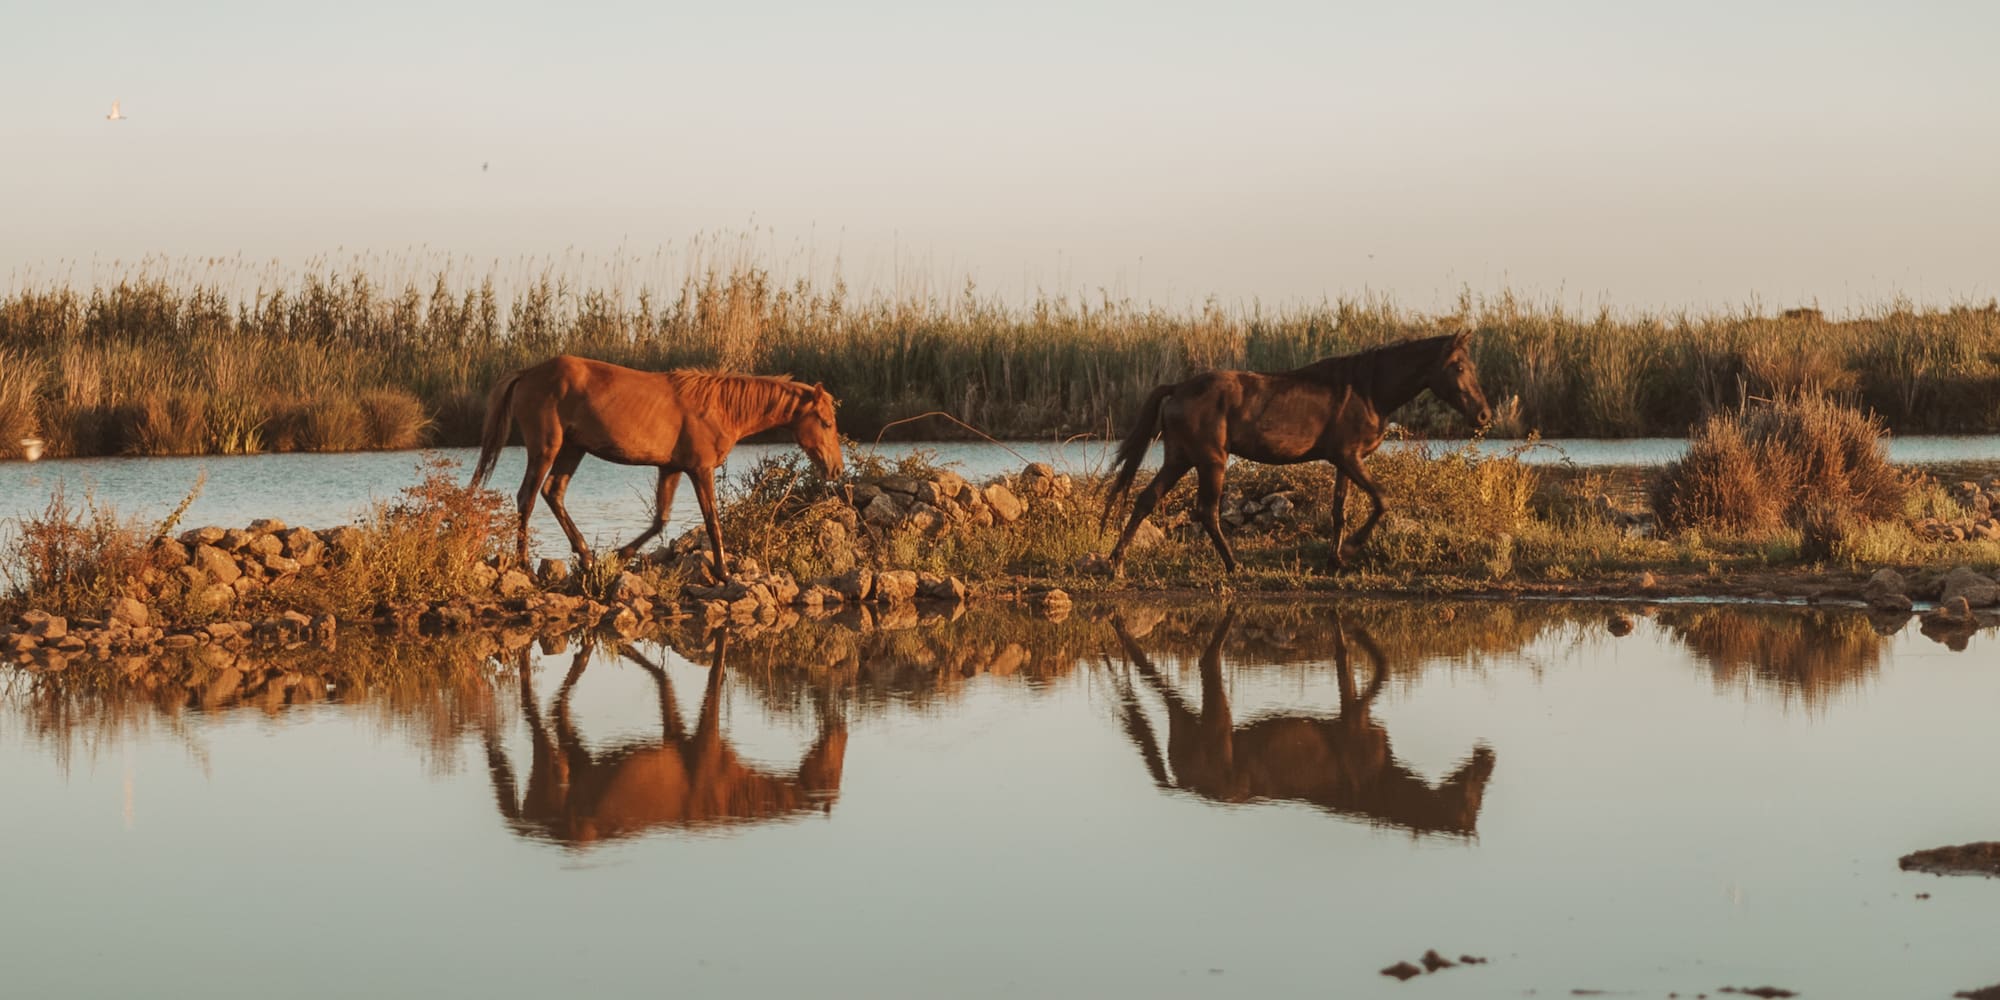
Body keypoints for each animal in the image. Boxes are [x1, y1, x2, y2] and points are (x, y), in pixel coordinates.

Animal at [469, 355, 844, 570]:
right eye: (826, 423)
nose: (836, 469)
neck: (720, 407)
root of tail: (527, 373)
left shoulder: (672, 468)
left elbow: (660, 520)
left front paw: (620, 554)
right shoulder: (699, 470)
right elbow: (712, 522)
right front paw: (723, 573)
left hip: (573, 449)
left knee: (553, 492)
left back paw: (586, 555)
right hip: (546, 447)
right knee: (528, 497)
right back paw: (523, 562)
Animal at [482, 636, 847, 846]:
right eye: (831, 772)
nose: (840, 729)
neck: (731, 789)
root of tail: (533, 828)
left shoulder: (677, 735)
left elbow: (664, 682)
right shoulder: (704, 739)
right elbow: (712, 682)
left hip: (575, 761)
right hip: (552, 764)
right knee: (535, 711)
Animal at [1100, 332, 1492, 575]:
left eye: (1473, 366)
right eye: (1459, 366)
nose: (1484, 415)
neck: (1368, 390)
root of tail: (1178, 387)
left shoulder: (1343, 461)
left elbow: (1339, 511)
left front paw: (1335, 560)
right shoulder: (1350, 458)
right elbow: (1382, 500)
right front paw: (1352, 548)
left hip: (1179, 458)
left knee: (1146, 500)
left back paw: (1116, 563)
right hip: (1211, 461)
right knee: (1206, 511)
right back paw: (1234, 565)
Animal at [1107, 608, 1496, 837]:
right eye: (1471, 803)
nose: (1487, 757)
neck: (1379, 784)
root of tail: (1185, 785)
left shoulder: (1355, 715)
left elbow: (1355, 663)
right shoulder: (1355, 721)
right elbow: (1373, 668)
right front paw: (1358, 629)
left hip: (1194, 722)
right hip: (1211, 719)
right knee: (1197, 669)